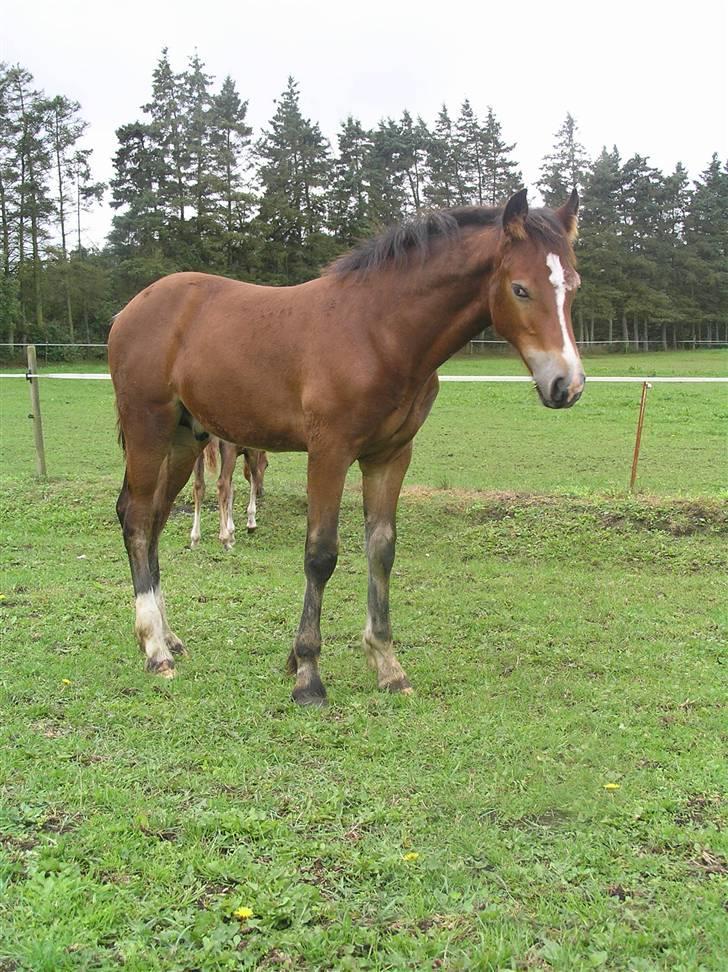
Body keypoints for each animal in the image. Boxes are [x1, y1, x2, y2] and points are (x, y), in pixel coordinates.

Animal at [109, 190, 584, 704]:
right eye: (520, 289)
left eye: (573, 286)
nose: (567, 385)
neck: (378, 332)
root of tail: (130, 310)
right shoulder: (329, 452)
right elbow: (321, 555)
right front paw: (307, 673)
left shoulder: (390, 457)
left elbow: (382, 550)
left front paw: (387, 664)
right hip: (148, 428)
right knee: (138, 519)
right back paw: (156, 650)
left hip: (185, 439)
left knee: (155, 519)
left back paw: (170, 636)